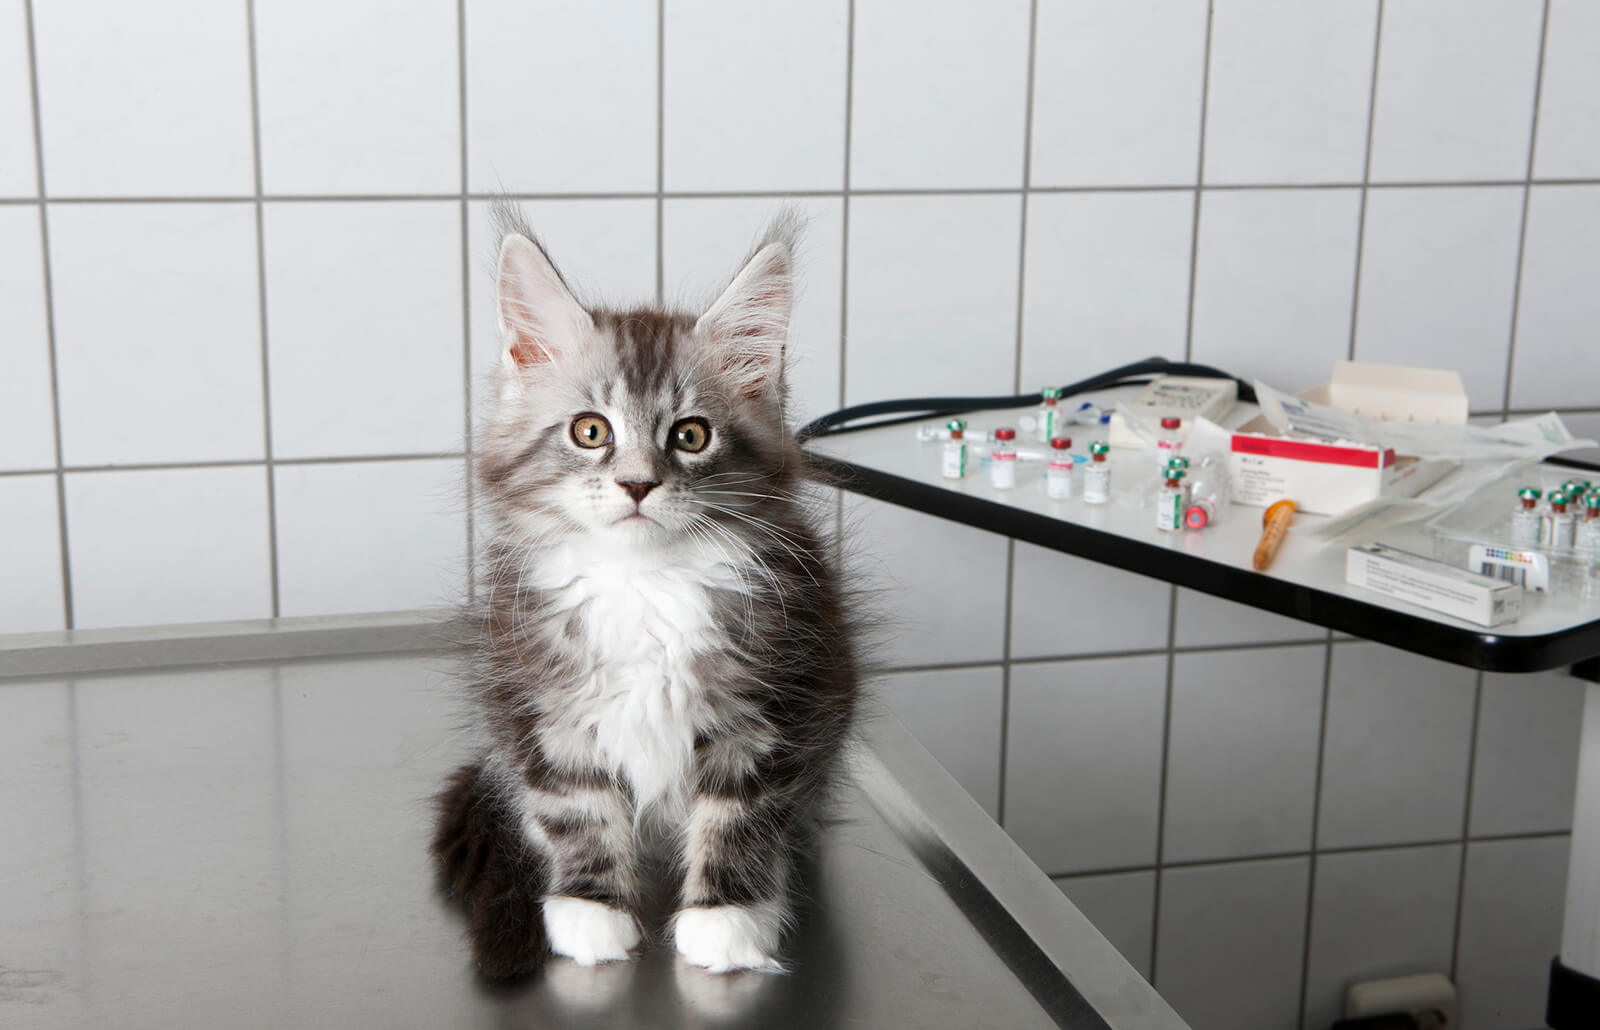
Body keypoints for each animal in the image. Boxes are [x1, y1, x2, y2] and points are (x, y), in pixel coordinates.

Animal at [425, 203, 851, 978]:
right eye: (591, 431)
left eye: (691, 435)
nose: (637, 484)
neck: (644, 583)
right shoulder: (541, 702)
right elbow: (578, 807)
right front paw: (590, 910)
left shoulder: (775, 703)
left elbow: (739, 813)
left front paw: (727, 921)